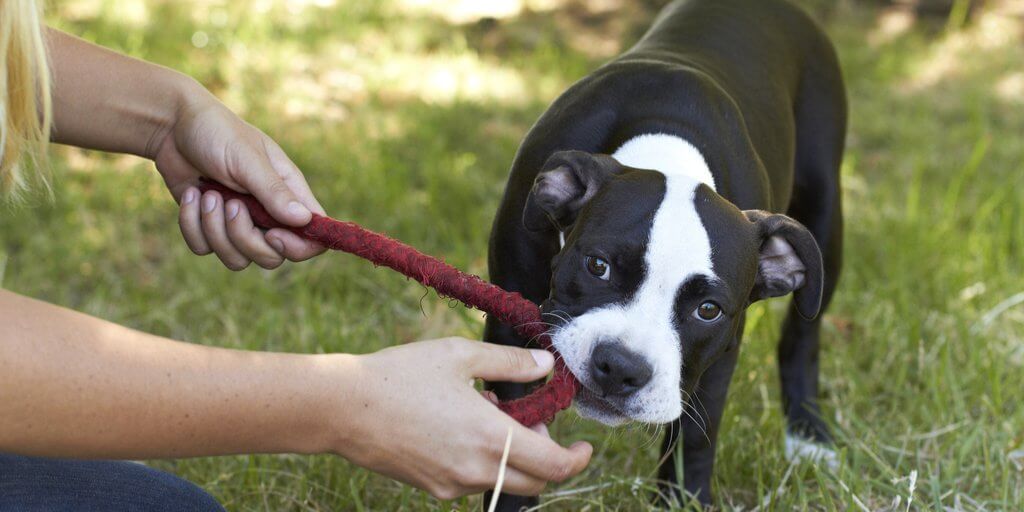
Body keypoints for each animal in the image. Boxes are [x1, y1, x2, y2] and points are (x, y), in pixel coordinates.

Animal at [487, 0, 847, 505]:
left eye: (708, 310)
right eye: (597, 266)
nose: (620, 368)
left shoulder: (716, 359)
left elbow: (696, 437)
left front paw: (683, 499)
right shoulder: (510, 325)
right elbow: (511, 436)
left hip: (825, 217)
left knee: (803, 336)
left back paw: (808, 434)